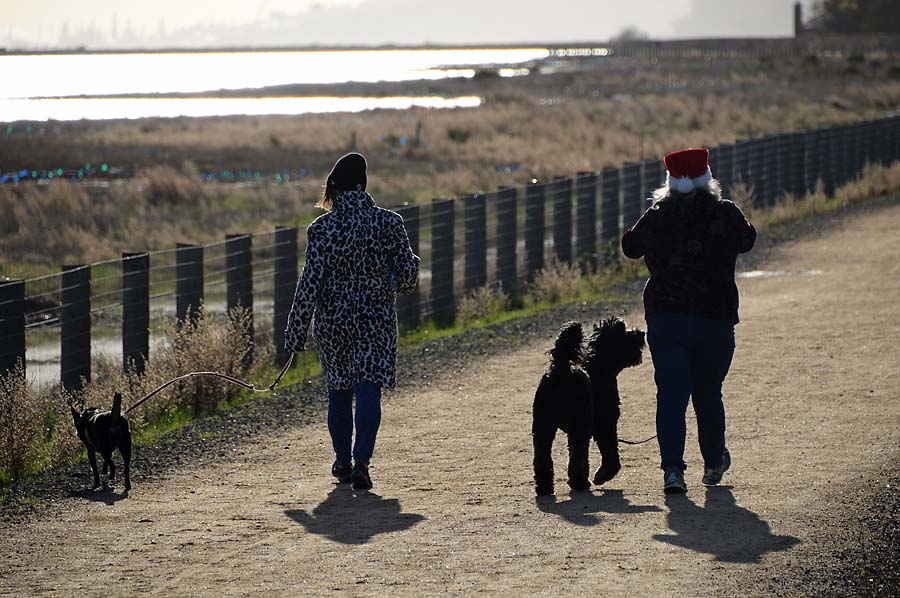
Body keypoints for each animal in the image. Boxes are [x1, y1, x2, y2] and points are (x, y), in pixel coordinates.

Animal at [532, 324, 596, 496]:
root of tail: (562, 371)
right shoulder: (582, 429)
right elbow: (582, 456)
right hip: (578, 425)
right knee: (577, 457)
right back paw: (579, 482)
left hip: (542, 425)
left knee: (541, 456)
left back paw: (544, 488)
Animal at [584, 318, 648, 488]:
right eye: (622, 330)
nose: (641, 332)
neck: (599, 369)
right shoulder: (605, 421)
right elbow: (609, 447)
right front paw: (607, 471)